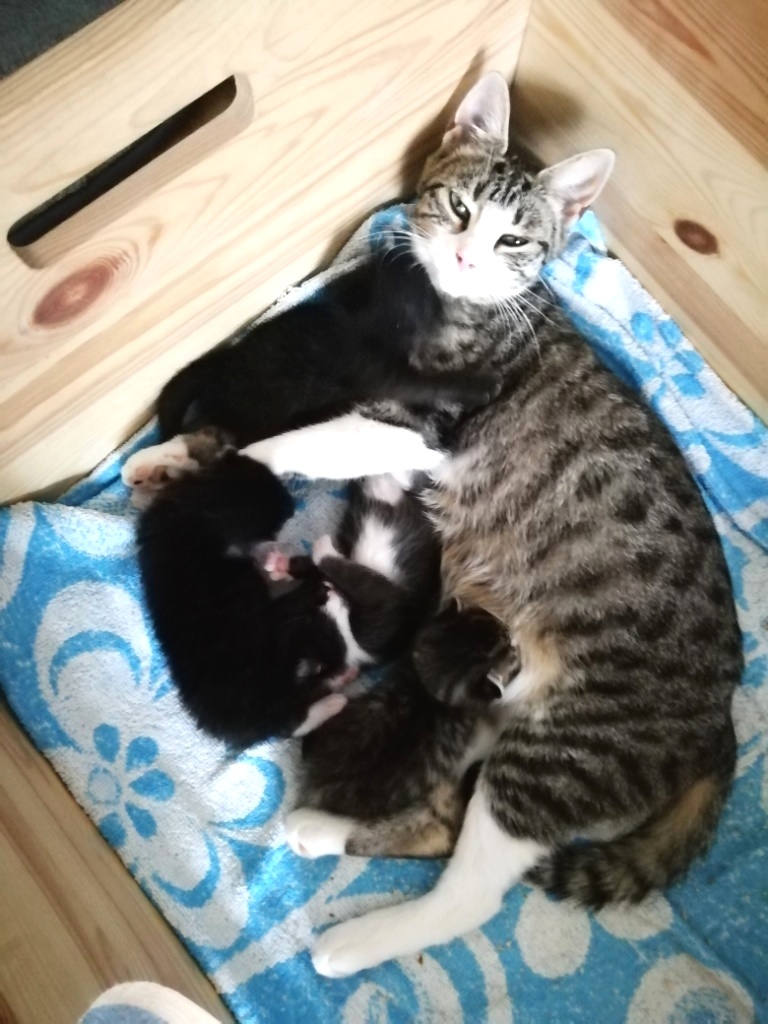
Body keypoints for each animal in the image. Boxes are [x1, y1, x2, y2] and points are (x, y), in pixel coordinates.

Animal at [267, 71, 743, 977]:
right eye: (457, 207)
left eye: (514, 238)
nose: (464, 254)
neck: (457, 306)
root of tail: (721, 718)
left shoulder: (423, 425)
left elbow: (314, 437)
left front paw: (222, 459)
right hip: (492, 700)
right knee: (441, 811)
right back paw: (325, 827)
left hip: (565, 750)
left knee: (473, 885)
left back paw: (357, 940)